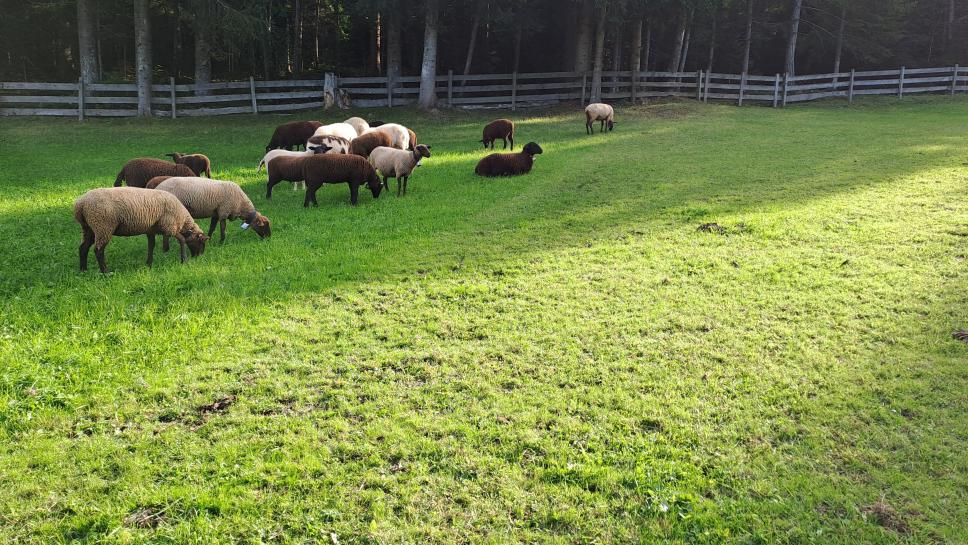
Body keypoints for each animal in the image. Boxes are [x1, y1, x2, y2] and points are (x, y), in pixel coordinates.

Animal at [73, 186, 208, 272]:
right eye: (201, 242)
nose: (199, 258)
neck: (183, 219)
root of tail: (80, 204)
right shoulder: (169, 226)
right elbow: (182, 240)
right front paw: (184, 260)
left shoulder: (151, 229)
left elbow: (151, 245)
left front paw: (149, 263)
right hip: (103, 226)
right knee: (98, 250)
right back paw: (105, 272)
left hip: (89, 227)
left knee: (83, 248)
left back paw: (83, 270)